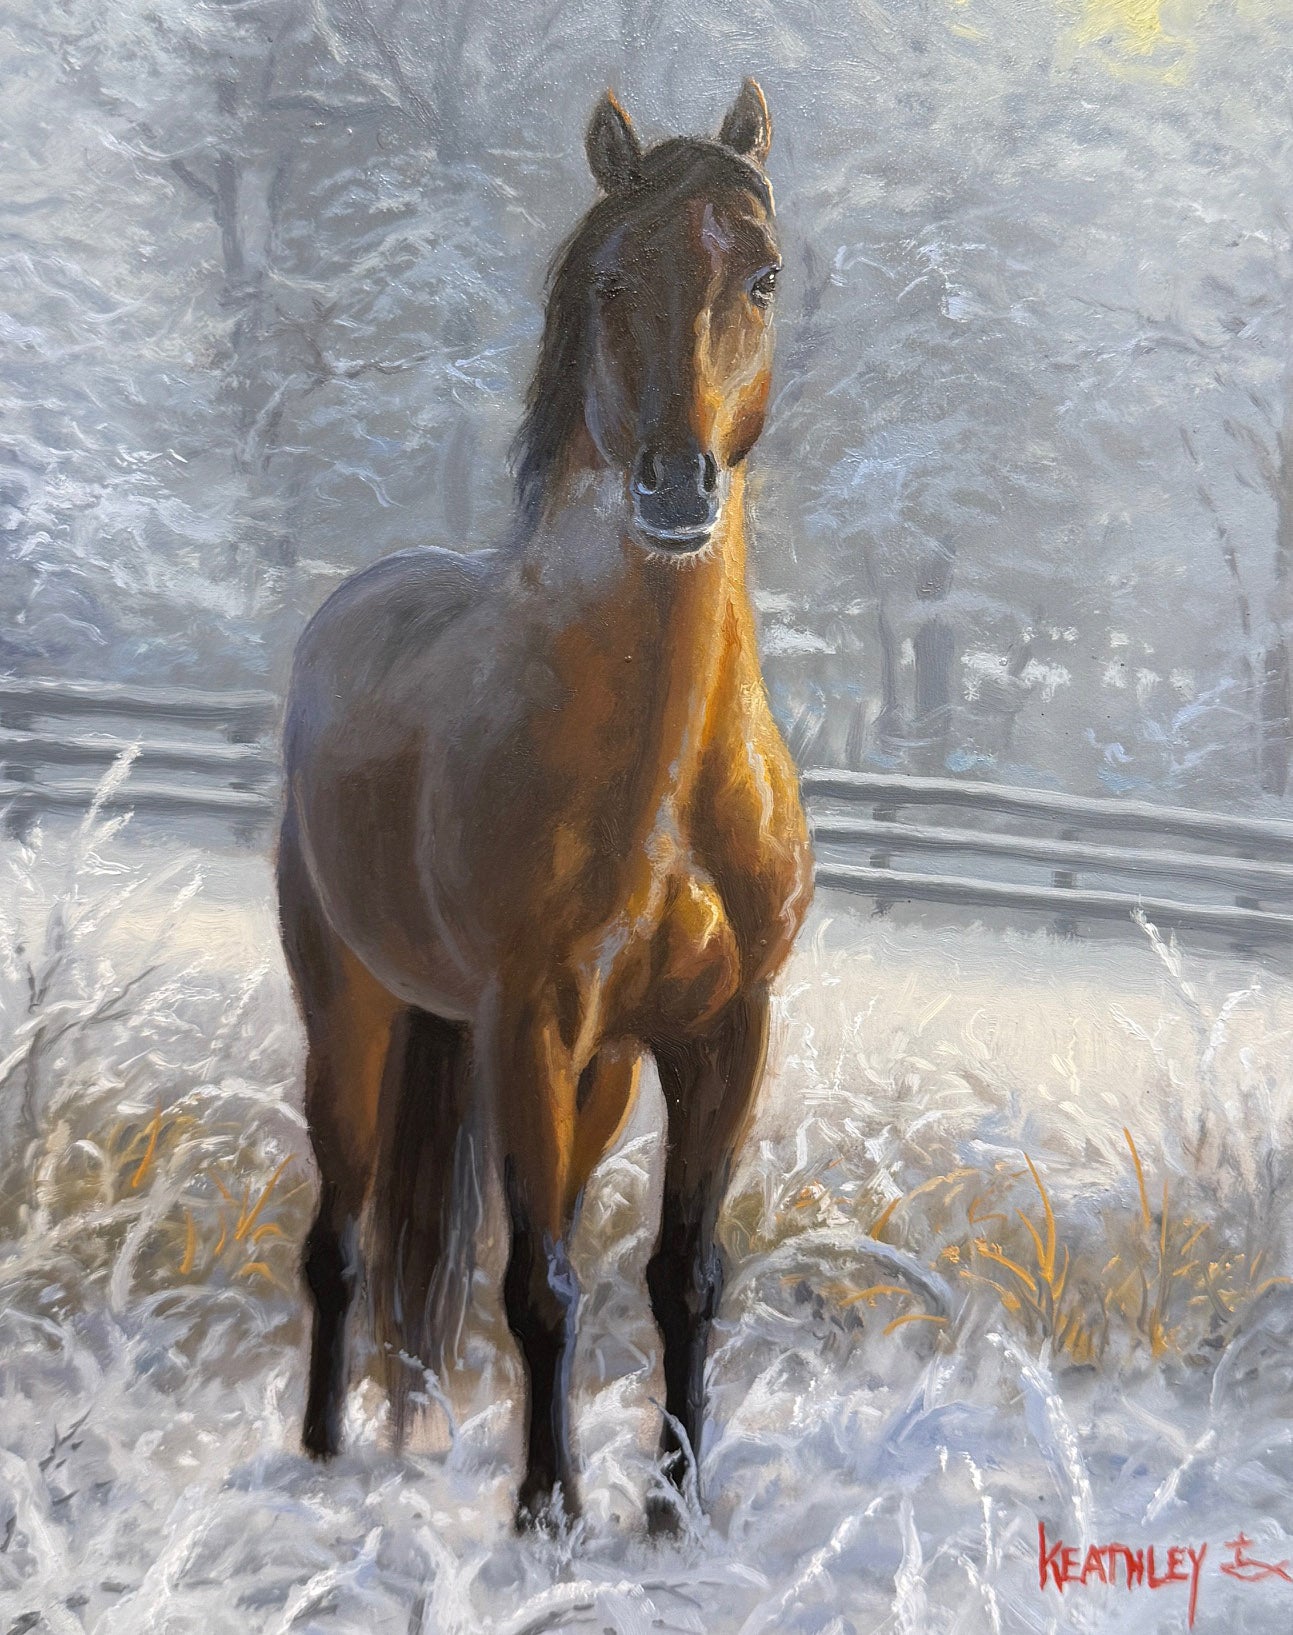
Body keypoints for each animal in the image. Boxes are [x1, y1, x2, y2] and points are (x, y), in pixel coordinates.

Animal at [277, 77, 813, 1532]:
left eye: (762, 274)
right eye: (614, 278)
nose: (676, 485)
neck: (666, 771)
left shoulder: (720, 1034)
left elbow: (685, 1276)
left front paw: (676, 1511)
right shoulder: (528, 1021)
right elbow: (539, 1285)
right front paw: (548, 1514)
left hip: (599, 1069)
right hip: (351, 1011)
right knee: (339, 1240)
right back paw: (323, 1454)